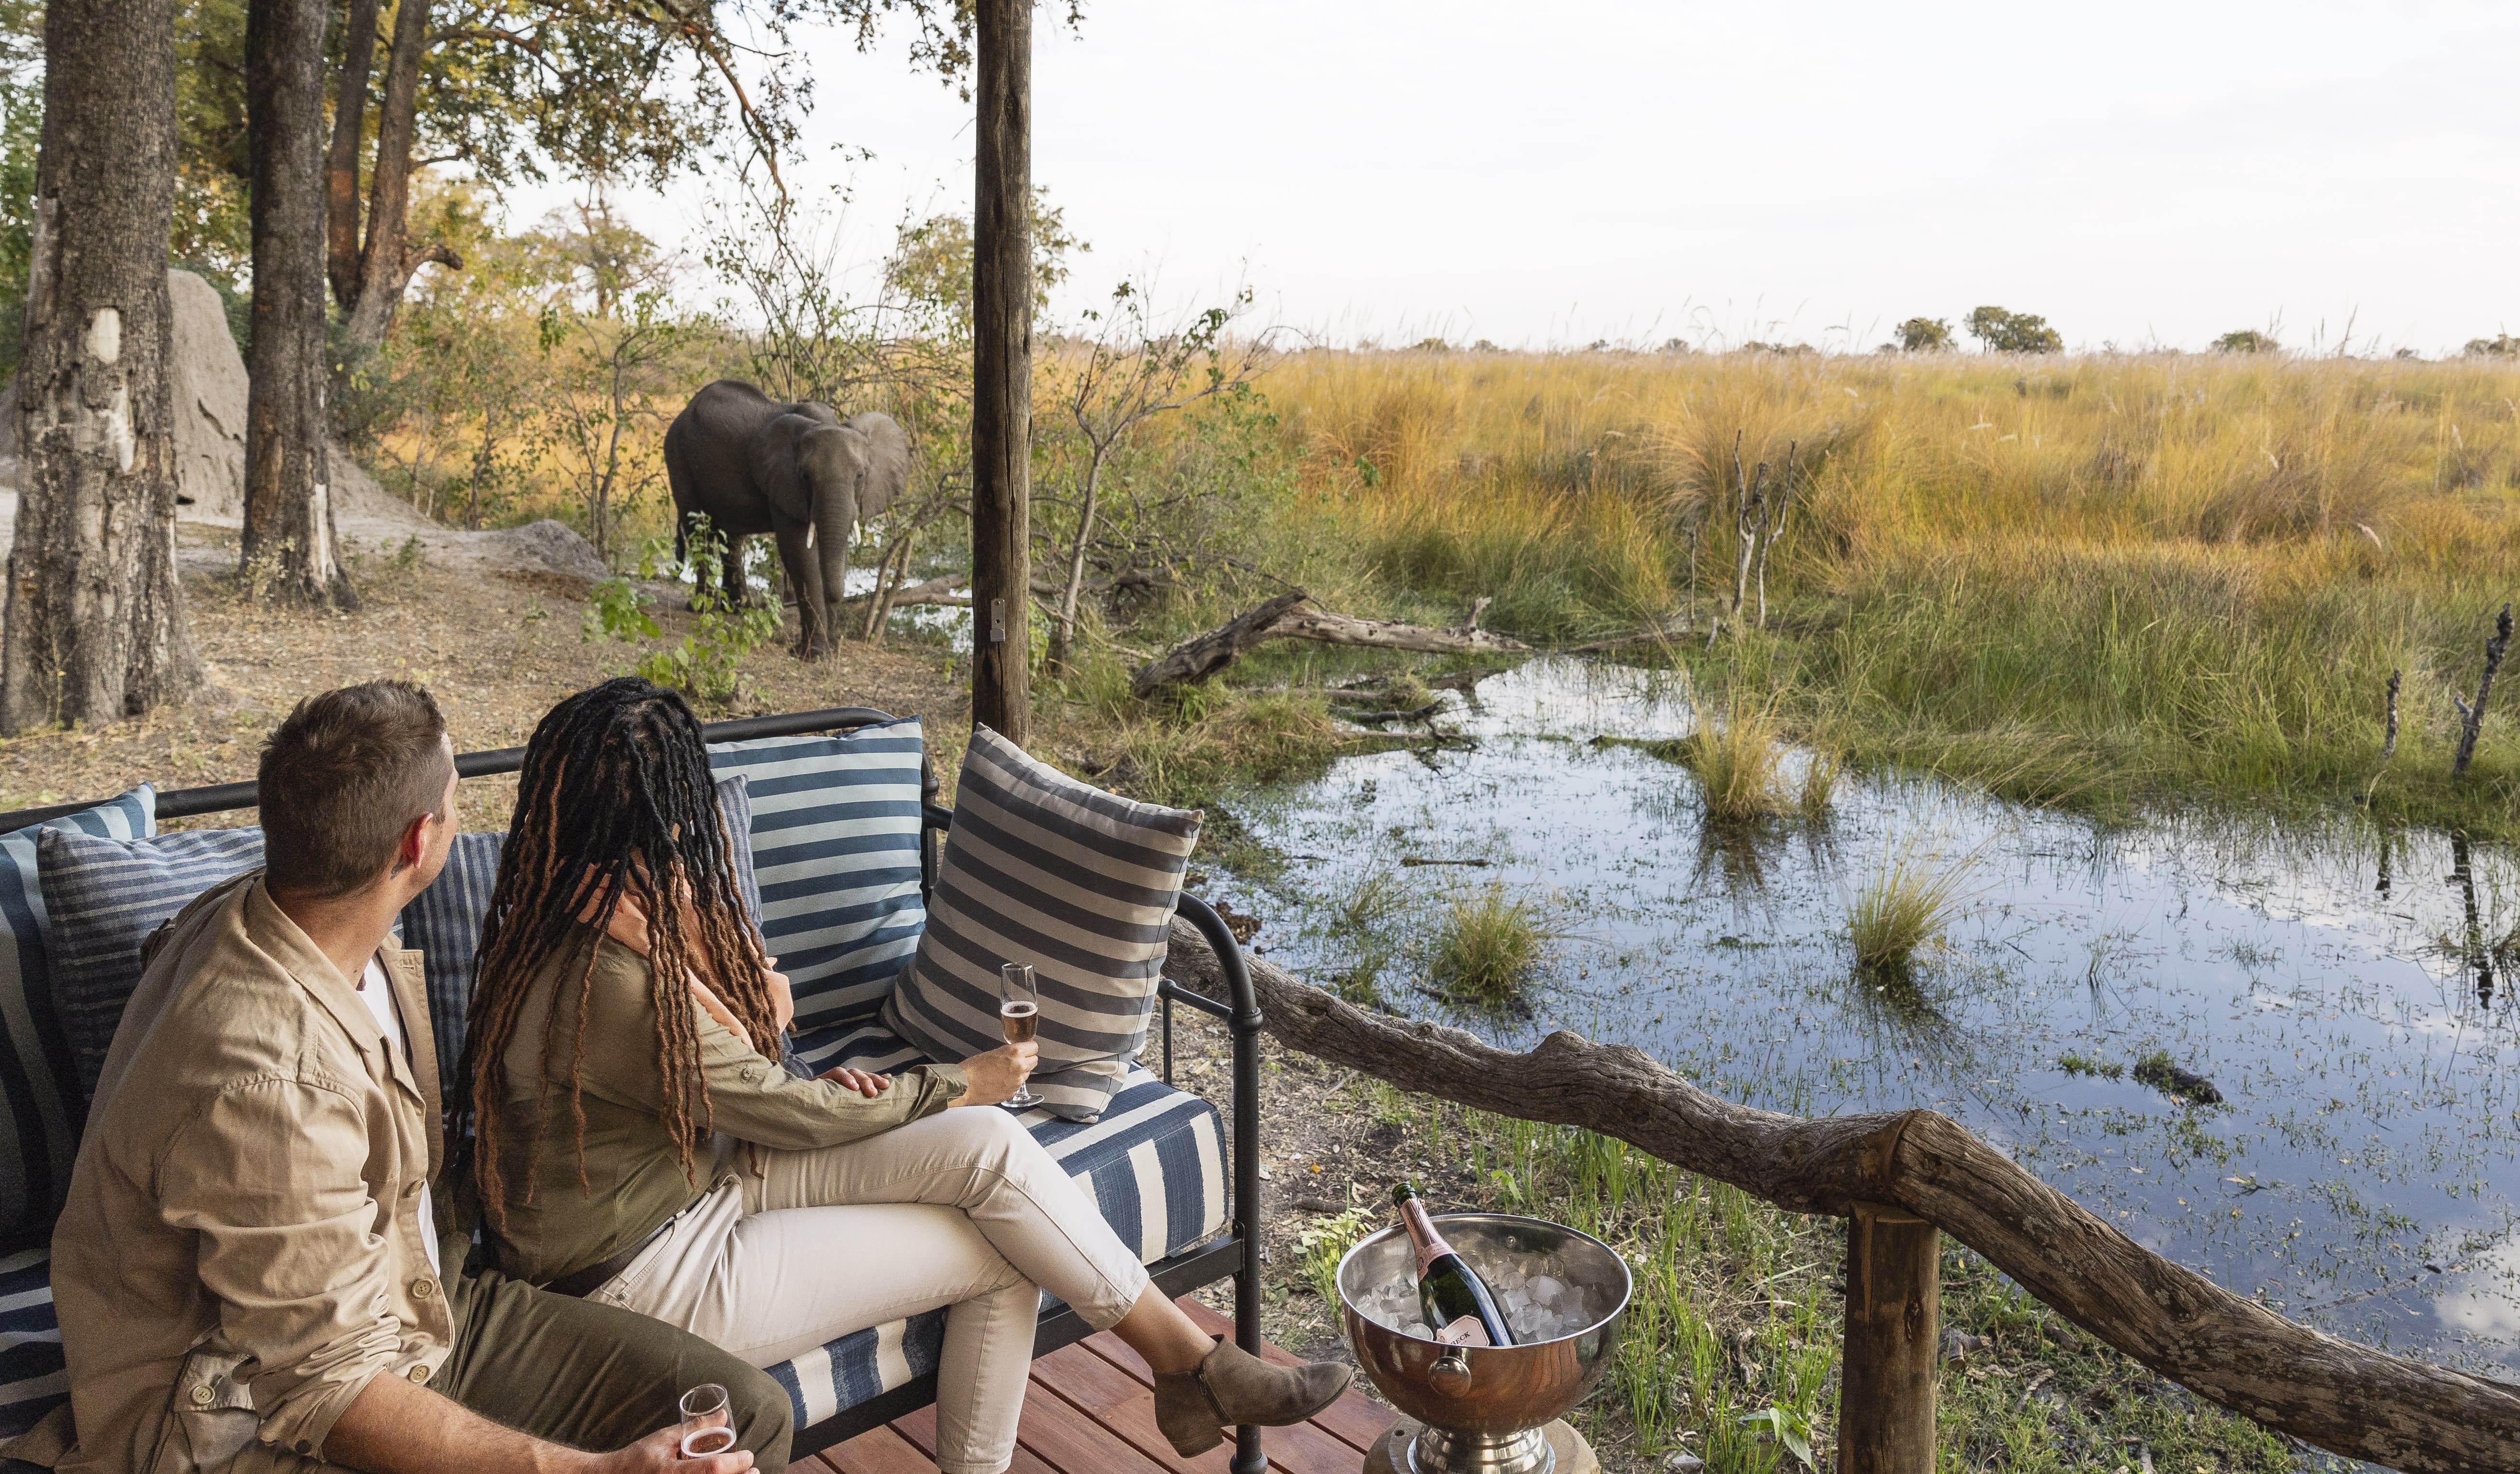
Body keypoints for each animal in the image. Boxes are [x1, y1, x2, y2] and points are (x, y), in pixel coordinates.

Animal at [665, 380, 912, 655]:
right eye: (805, 476)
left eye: (860, 475)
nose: (840, 599)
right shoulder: (785, 482)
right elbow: (799, 551)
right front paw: (815, 655)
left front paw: (826, 649)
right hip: (677, 457)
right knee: (699, 528)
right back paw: (700, 609)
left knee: (732, 537)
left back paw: (737, 609)